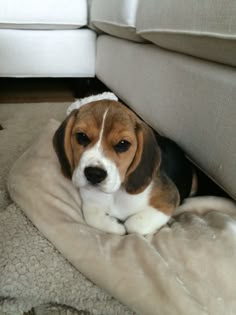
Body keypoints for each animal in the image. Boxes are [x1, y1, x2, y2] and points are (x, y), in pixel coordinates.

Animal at [54, 100, 197, 236]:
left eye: (123, 144)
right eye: (81, 136)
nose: (94, 174)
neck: (116, 193)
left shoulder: (169, 198)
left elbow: (133, 225)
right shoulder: (90, 202)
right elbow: (92, 217)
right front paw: (116, 225)